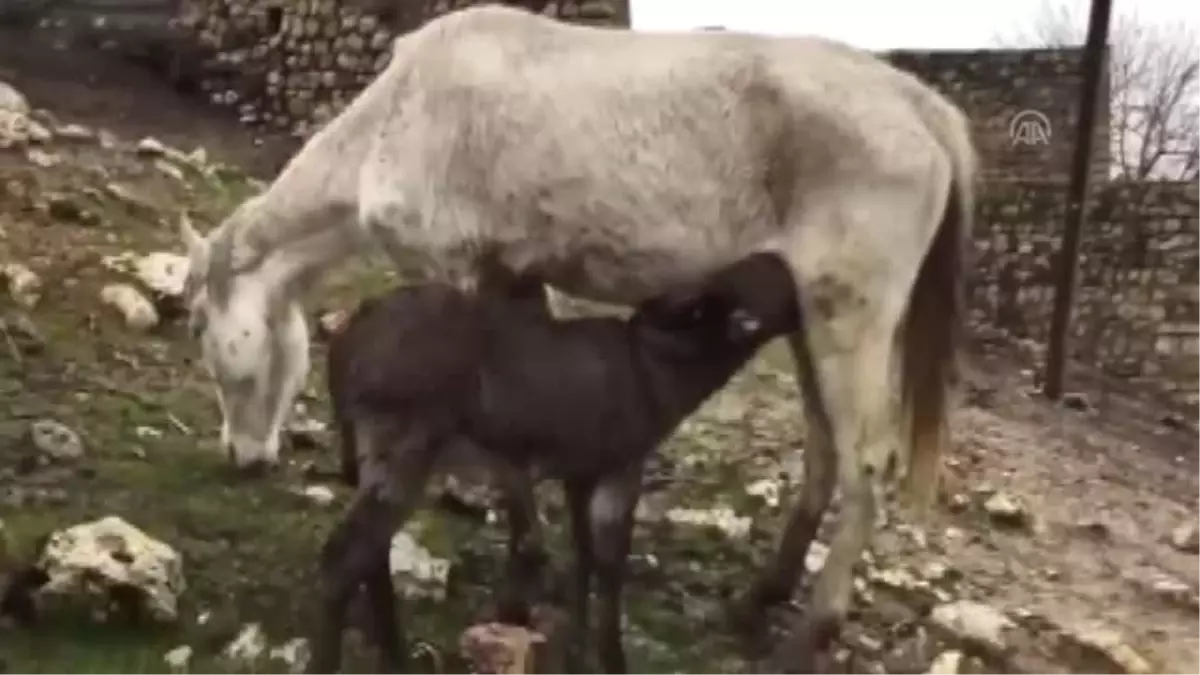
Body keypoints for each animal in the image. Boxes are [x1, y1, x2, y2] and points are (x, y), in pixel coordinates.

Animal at [177, 6, 974, 672]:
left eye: (216, 349)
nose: (243, 457)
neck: (399, 117)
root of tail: (923, 108)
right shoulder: (515, 277)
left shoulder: (462, 271)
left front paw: (524, 578)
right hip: (811, 321)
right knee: (822, 452)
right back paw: (761, 599)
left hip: (849, 317)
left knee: (863, 464)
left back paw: (813, 629)